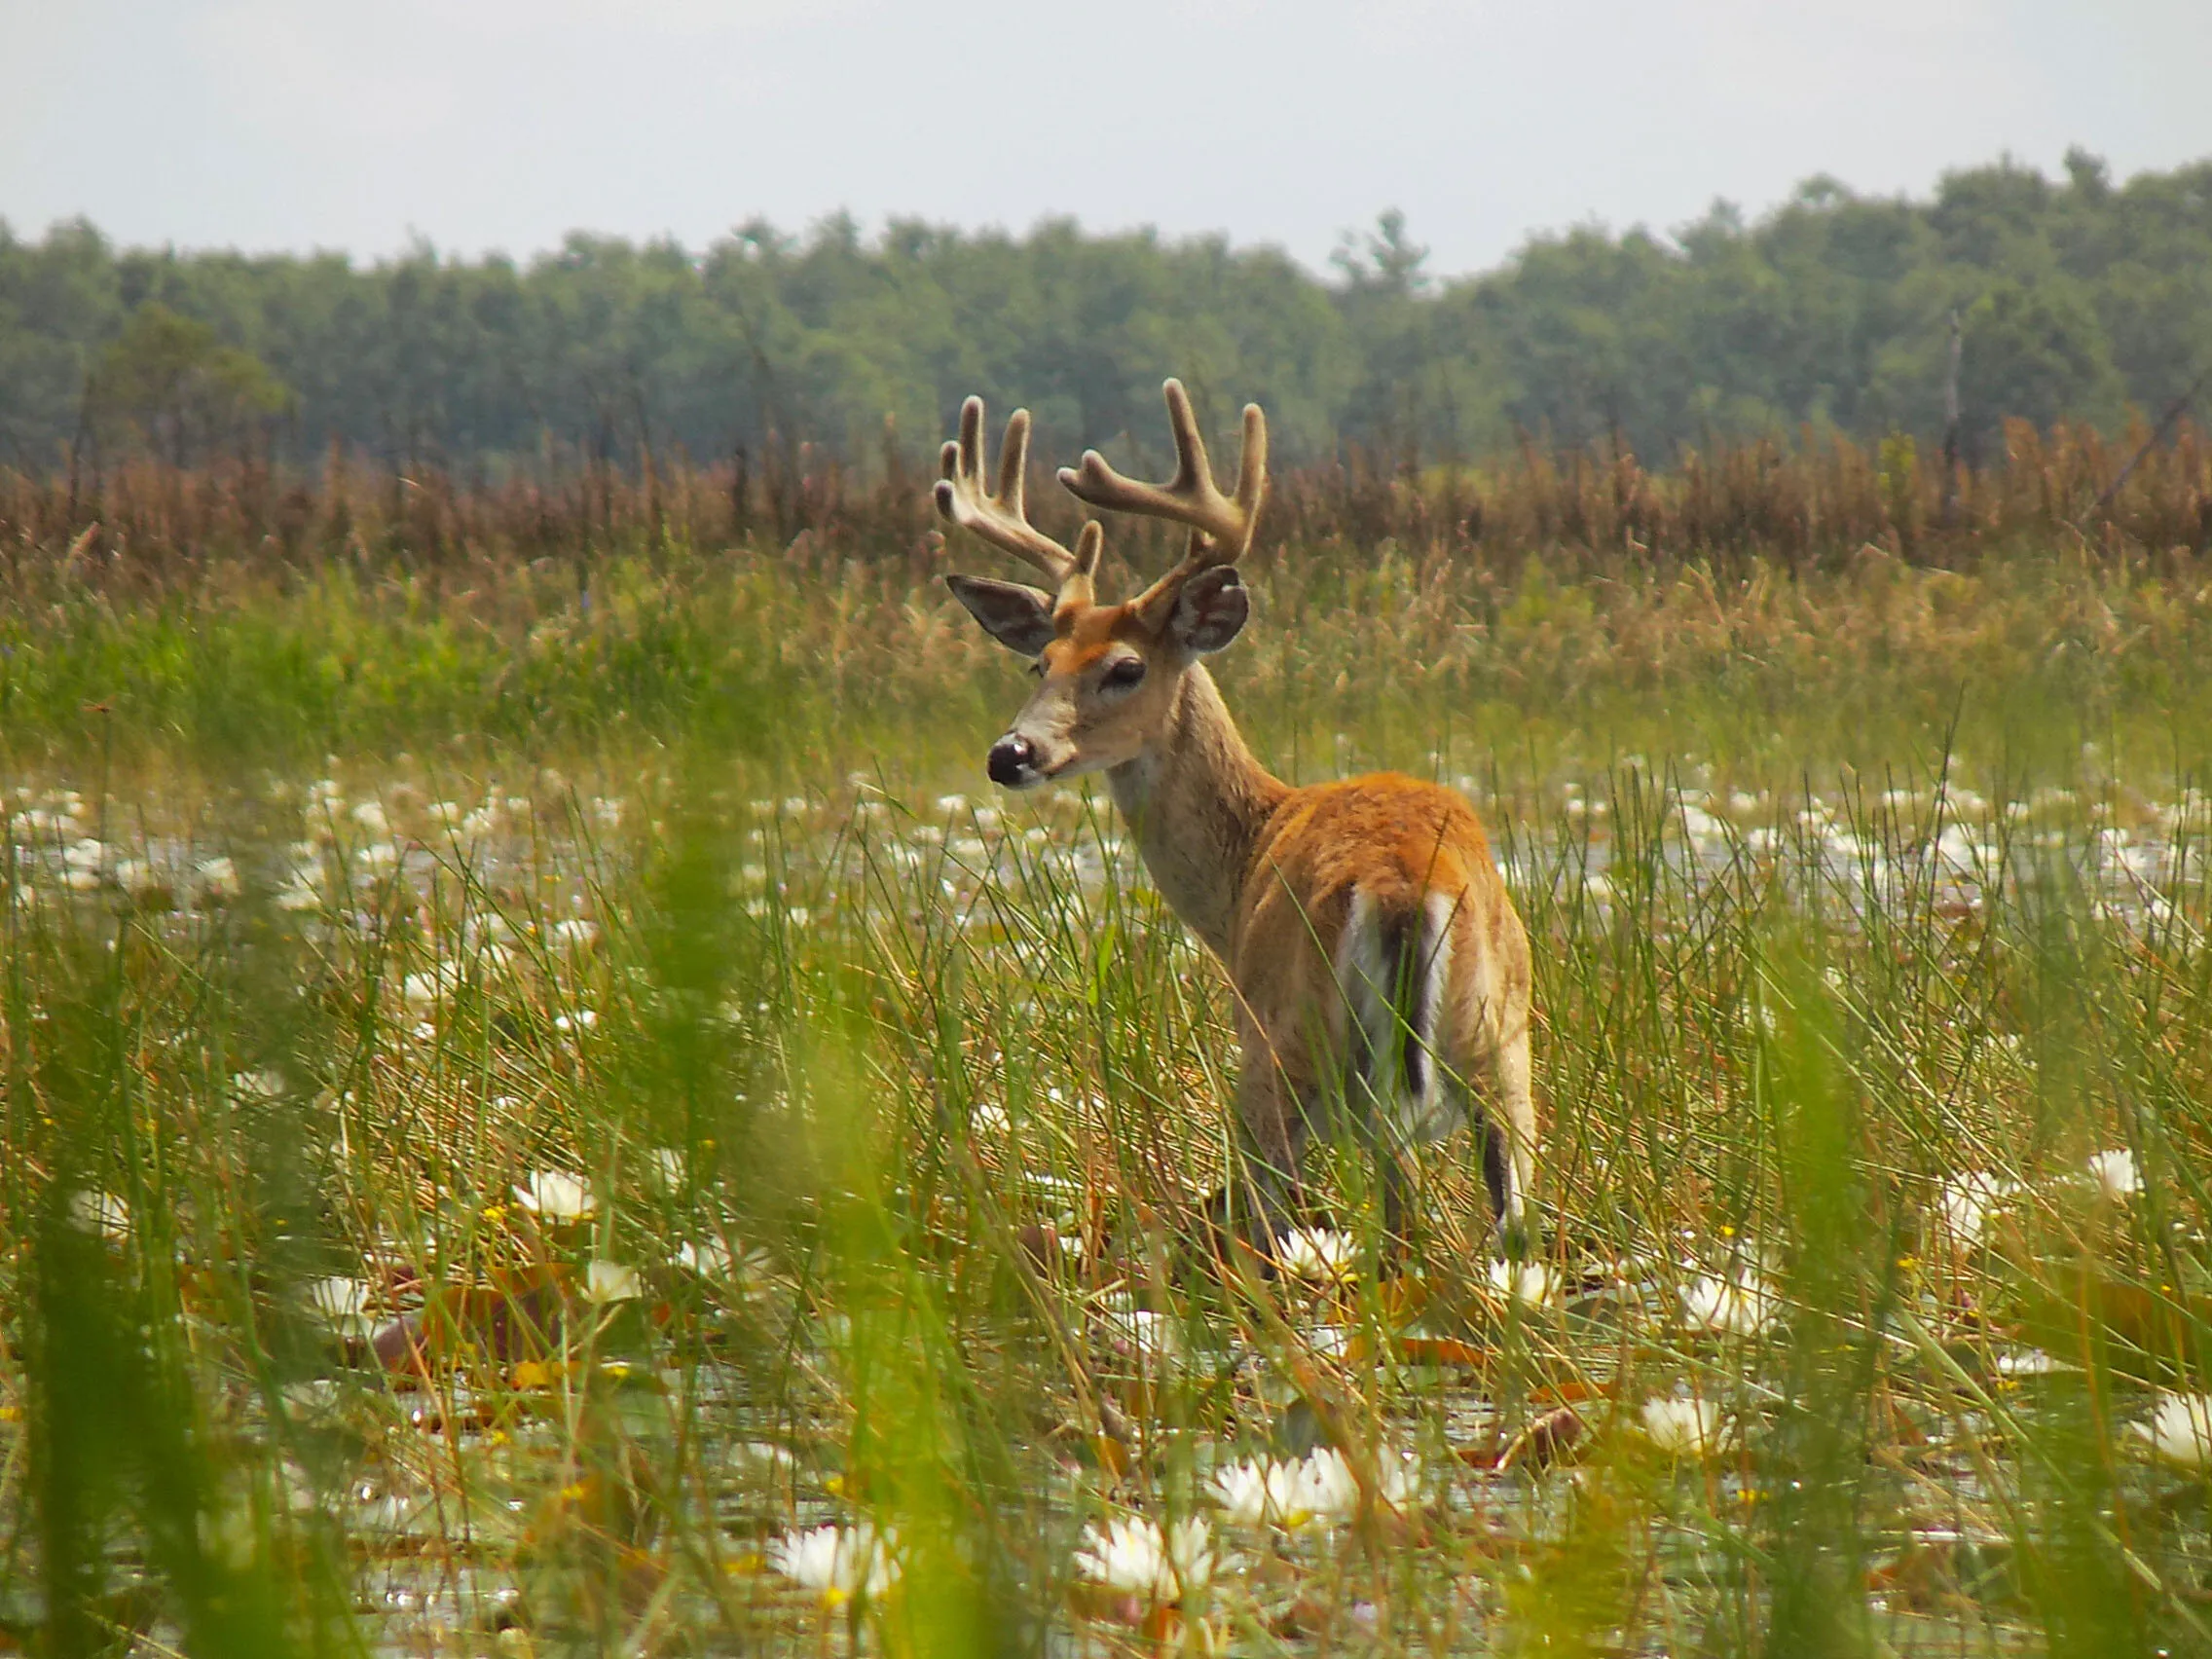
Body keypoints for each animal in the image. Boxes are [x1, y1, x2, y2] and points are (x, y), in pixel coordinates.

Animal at [937, 379, 1536, 1264]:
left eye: (1126, 667)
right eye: (1038, 663)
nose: (1009, 753)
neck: (1251, 848)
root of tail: (1400, 887)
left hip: (1286, 1053)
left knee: (1289, 1226)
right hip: (1504, 1050)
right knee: (1513, 1222)